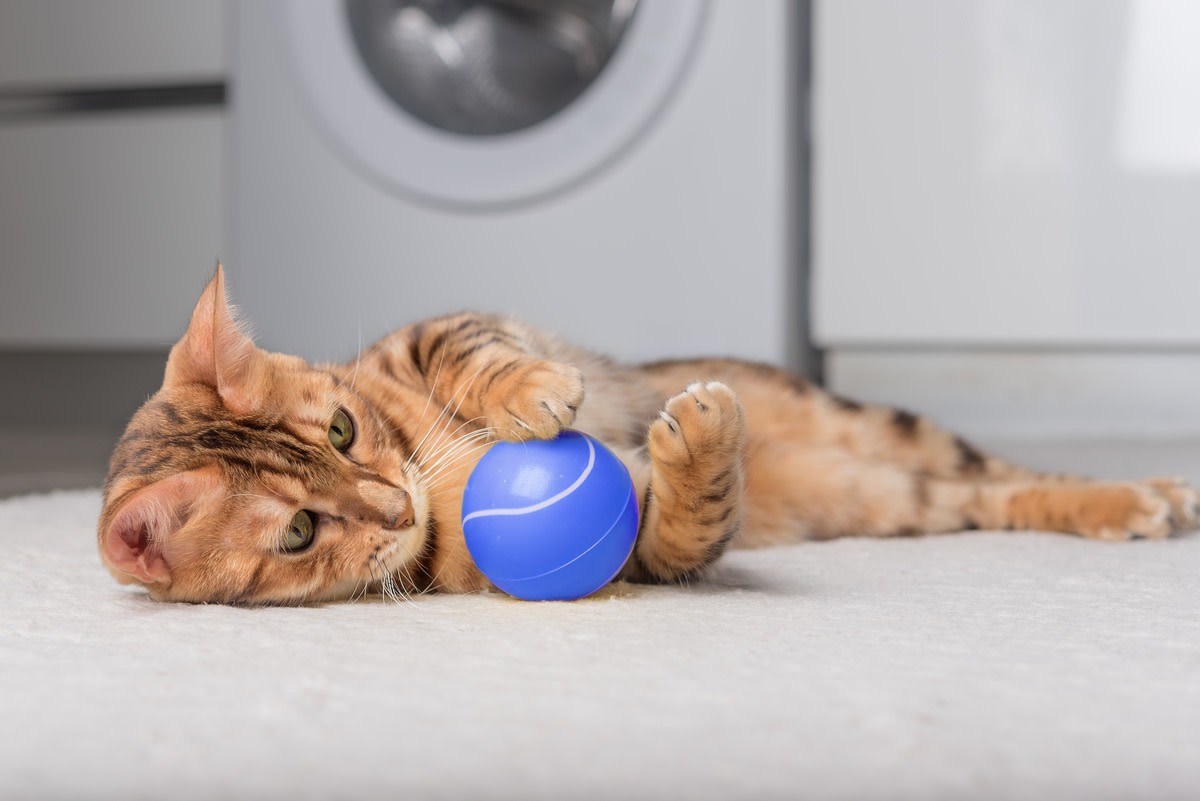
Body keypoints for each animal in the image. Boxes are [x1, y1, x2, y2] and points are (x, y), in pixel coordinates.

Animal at [96, 266, 1200, 604]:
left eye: (341, 425)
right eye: (296, 534)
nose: (396, 505)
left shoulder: (430, 331)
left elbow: (472, 347)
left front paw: (535, 390)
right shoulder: (640, 559)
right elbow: (679, 526)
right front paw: (695, 451)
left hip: (883, 429)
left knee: (1007, 472)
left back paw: (1152, 493)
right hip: (886, 495)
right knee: (985, 499)